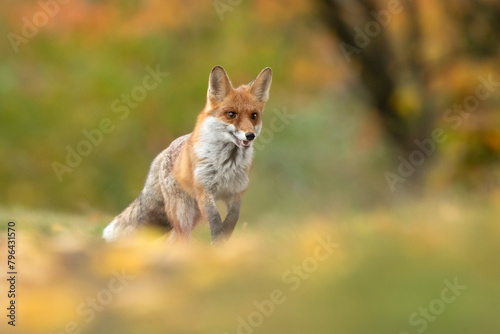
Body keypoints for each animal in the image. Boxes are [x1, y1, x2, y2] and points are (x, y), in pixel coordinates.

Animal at [103, 66, 272, 243]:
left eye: (254, 116)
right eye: (231, 114)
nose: (250, 135)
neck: (227, 164)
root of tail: (165, 150)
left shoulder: (236, 193)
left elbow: (233, 218)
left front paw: (224, 238)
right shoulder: (204, 191)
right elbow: (215, 218)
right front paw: (217, 240)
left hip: (194, 214)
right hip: (183, 212)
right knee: (181, 238)